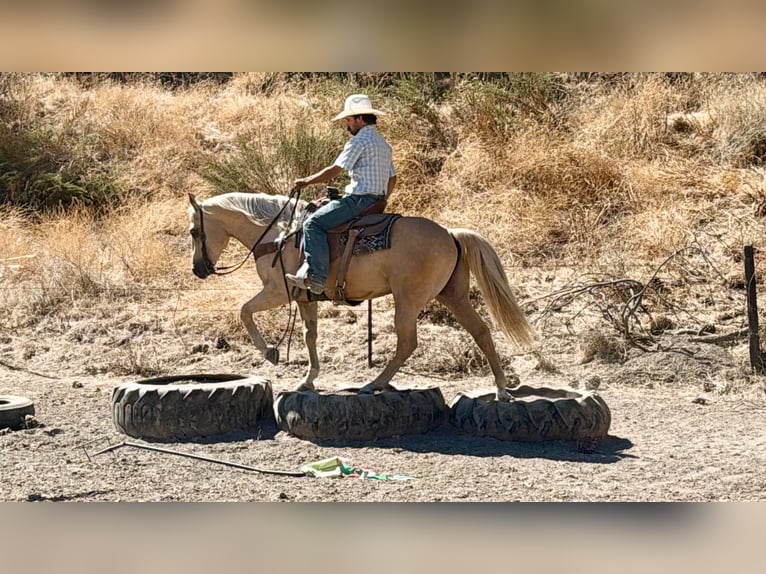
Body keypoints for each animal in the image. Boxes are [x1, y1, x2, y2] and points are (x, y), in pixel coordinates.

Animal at [187, 191, 538, 401]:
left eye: (193, 231)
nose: (198, 270)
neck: (278, 235)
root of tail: (451, 233)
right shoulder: (304, 299)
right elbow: (310, 337)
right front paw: (308, 380)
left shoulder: (277, 292)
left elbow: (244, 311)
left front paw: (270, 352)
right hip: (452, 295)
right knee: (481, 331)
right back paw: (501, 389)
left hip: (408, 300)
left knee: (407, 342)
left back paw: (374, 384)